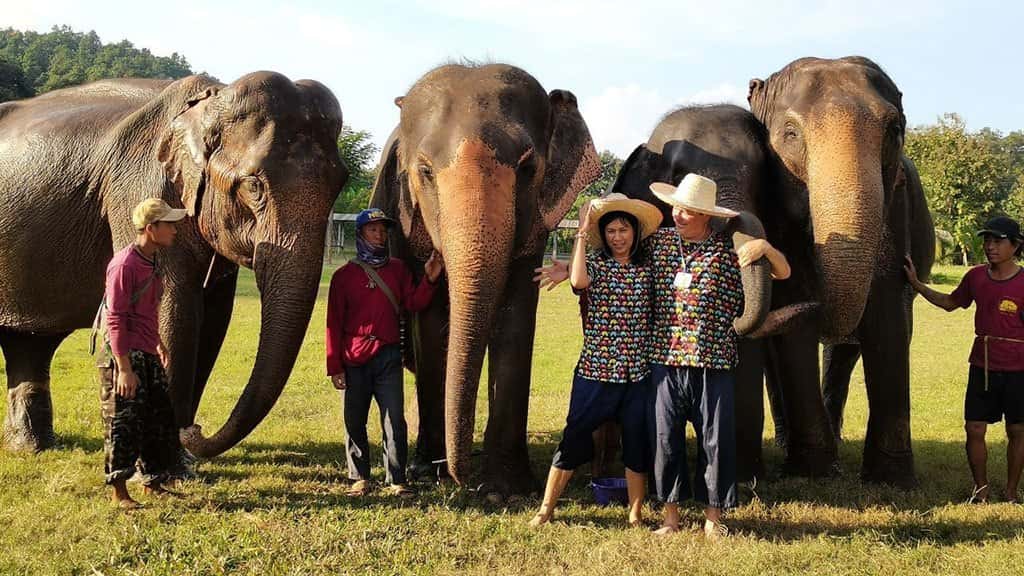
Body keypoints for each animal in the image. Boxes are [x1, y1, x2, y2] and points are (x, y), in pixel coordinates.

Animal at [0, 72, 348, 457]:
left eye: (341, 184)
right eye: (254, 185)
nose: (195, 431)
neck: (210, 101)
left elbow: (212, 321)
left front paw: (180, 453)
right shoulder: (139, 193)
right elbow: (172, 307)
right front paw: (172, 461)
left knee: (29, 344)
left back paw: (32, 448)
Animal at [370, 63, 601, 494]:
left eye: (528, 169)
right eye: (424, 171)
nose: (461, 477)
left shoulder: (535, 228)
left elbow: (515, 321)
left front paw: (506, 488)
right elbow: (431, 323)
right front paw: (428, 470)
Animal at [747, 56, 935, 485]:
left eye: (894, 130)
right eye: (790, 133)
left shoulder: (895, 204)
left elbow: (888, 314)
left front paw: (890, 480)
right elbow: (795, 312)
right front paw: (812, 471)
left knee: (845, 350)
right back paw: (788, 443)